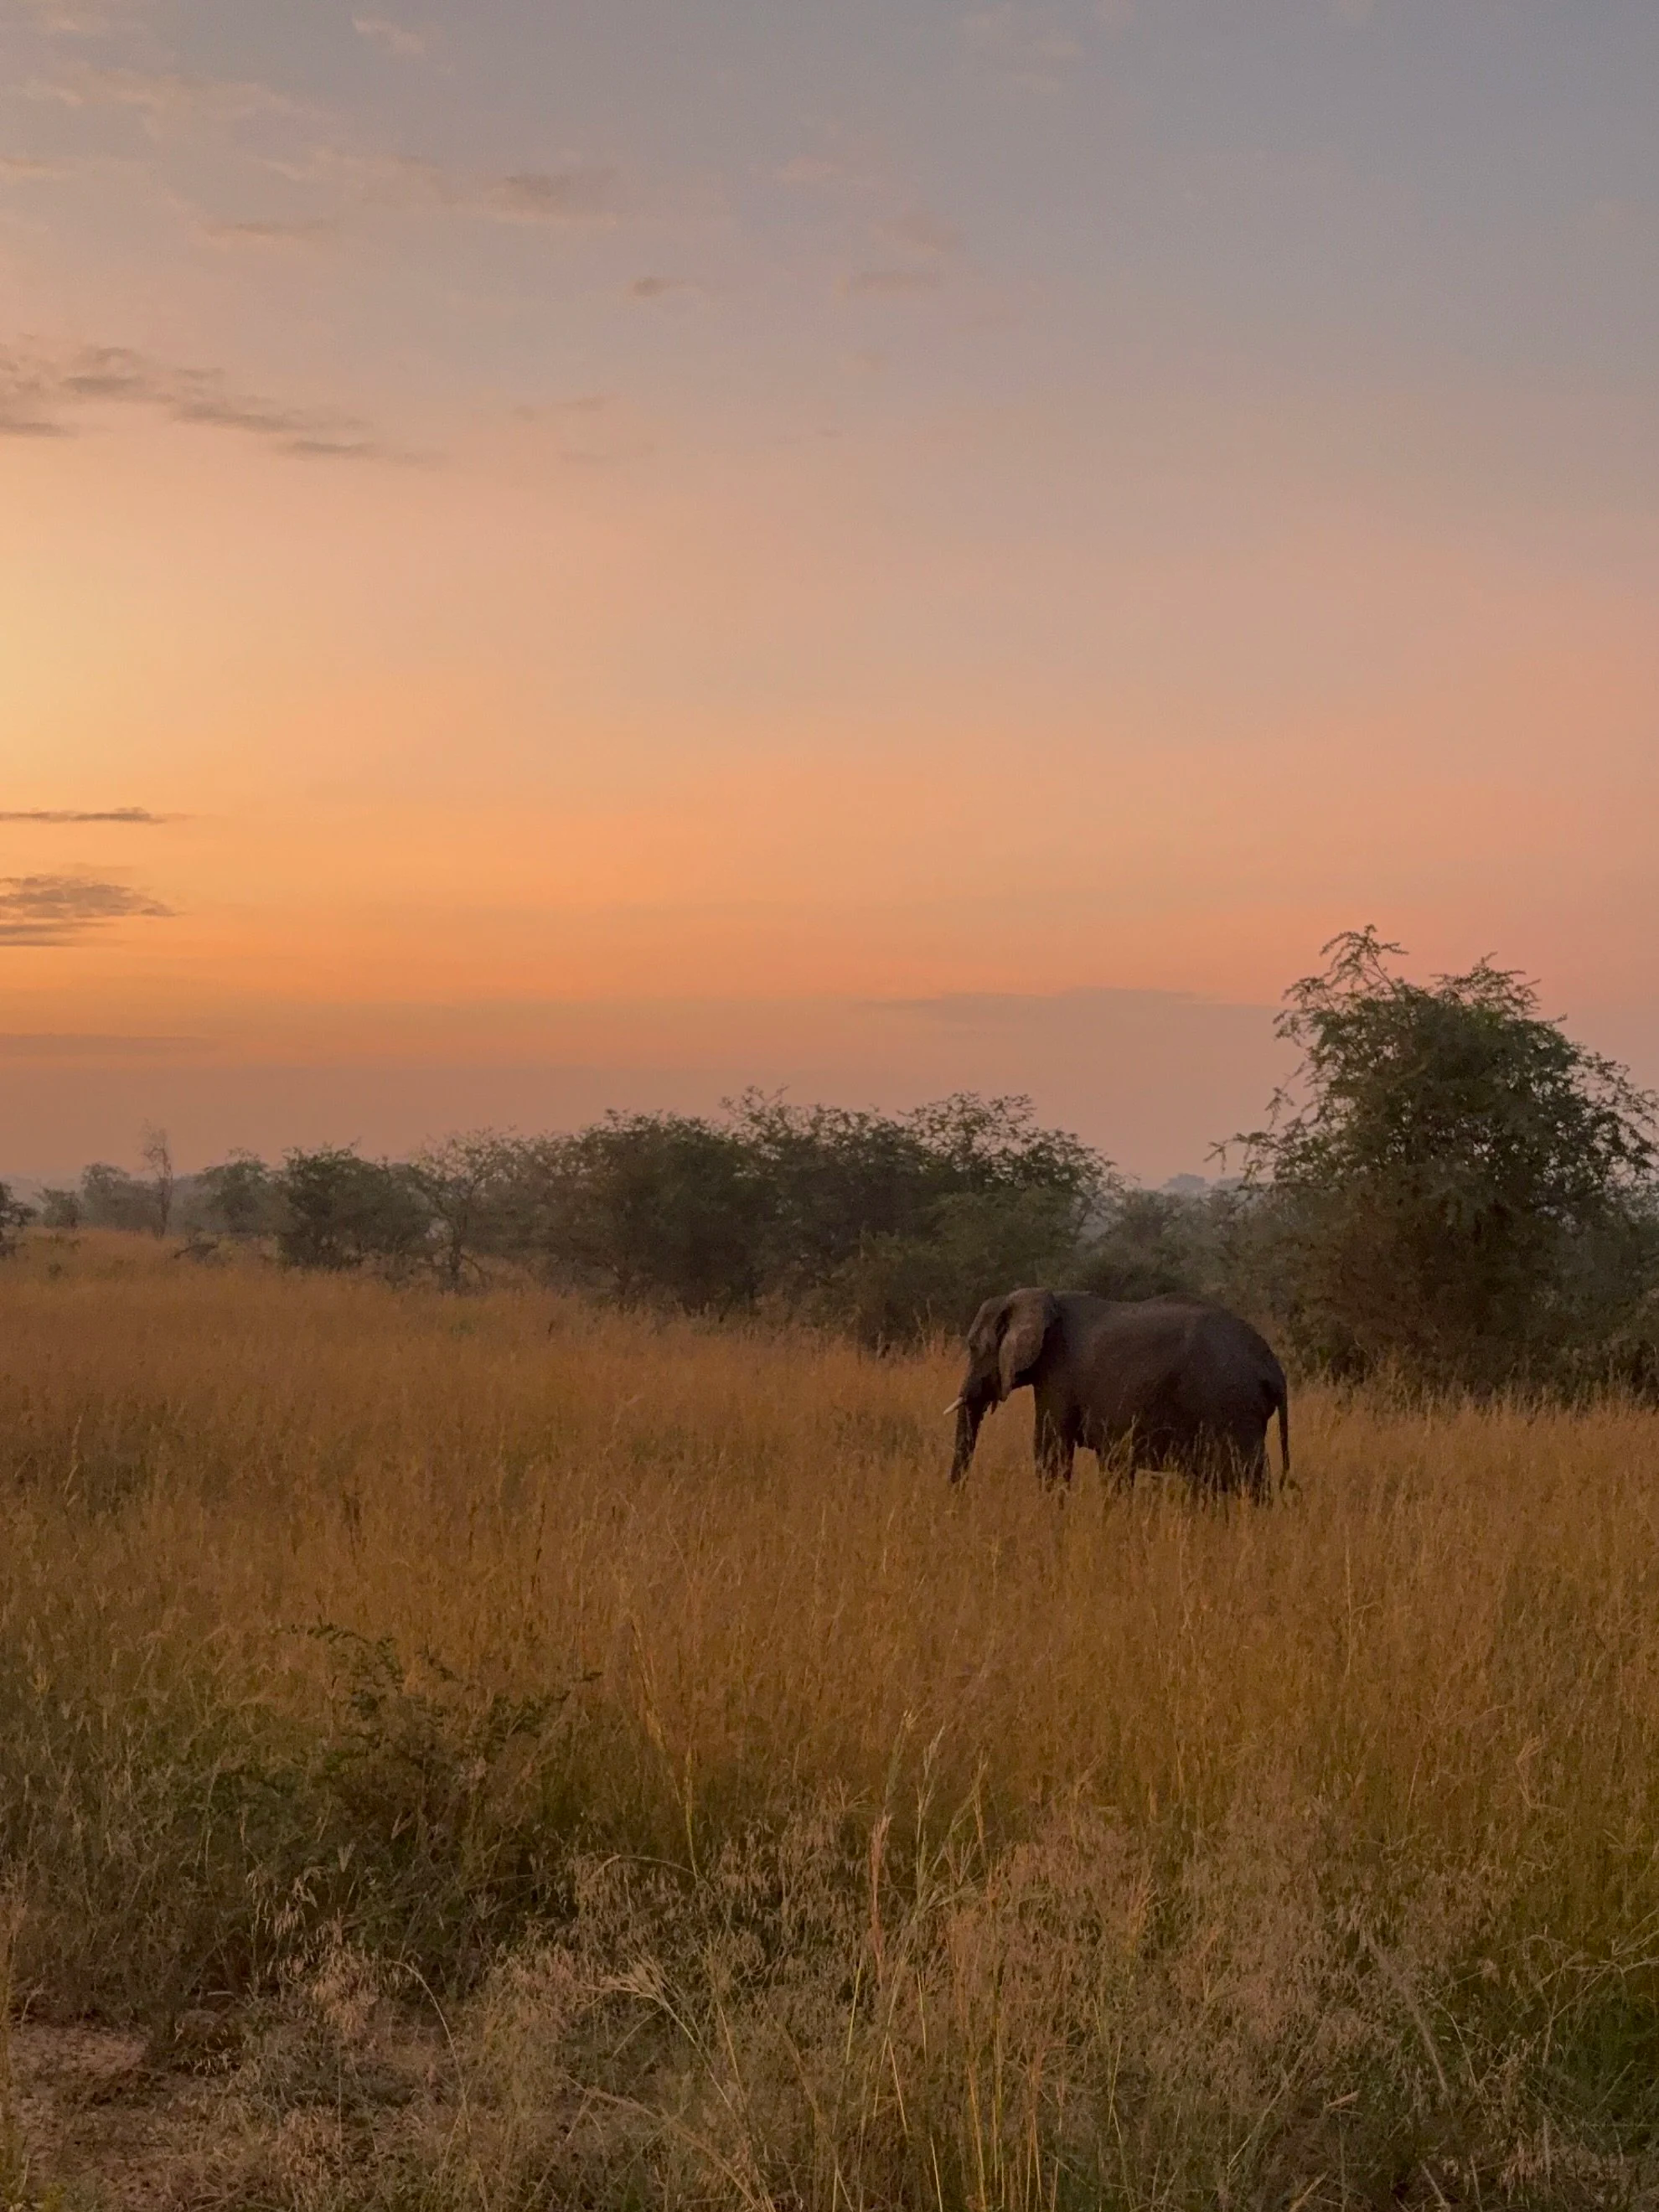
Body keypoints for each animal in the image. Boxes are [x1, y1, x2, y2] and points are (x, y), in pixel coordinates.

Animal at [947, 1289, 1289, 1498]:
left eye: (974, 1347)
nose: (958, 1500)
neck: (1039, 1296)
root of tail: (1273, 1367)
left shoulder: (1058, 1373)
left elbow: (1051, 1449)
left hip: (1230, 1404)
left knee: (1244, 1474)